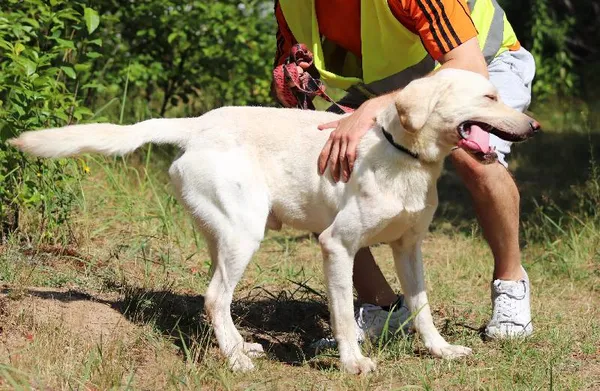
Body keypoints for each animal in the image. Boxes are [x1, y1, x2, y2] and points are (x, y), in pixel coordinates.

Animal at [8, 70, 540, 376]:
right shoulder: (336, 245)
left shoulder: (409, 248)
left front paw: (442, 352)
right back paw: (238, 362)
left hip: (223, 237)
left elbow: (422, 309)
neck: (402, 152)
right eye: (489, 97)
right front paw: (352, 364)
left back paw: (240, 347)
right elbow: (343, 314)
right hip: (245, 235)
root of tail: (198, 124)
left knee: (217, 301)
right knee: (213, 298)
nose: (533, 126)